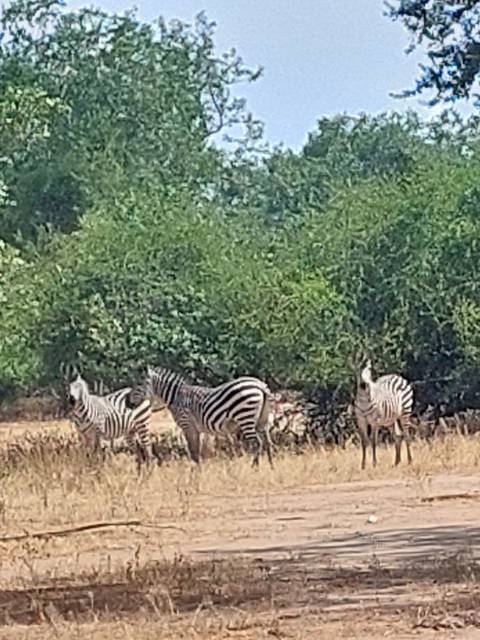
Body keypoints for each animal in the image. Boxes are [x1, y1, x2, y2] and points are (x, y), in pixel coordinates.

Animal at [142, 366, 273, 467]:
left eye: (141, 385)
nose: (133, 403)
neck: (176, 397)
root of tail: (260, 385)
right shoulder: (197, 430)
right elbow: (198, 450)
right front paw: (198, 470)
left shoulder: (188, 426)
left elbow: (194, 451)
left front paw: (195, 473)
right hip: (262, 420)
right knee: (267, 442)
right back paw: (270, 467)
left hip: (245, 417)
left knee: (257, 442)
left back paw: (254, 467)